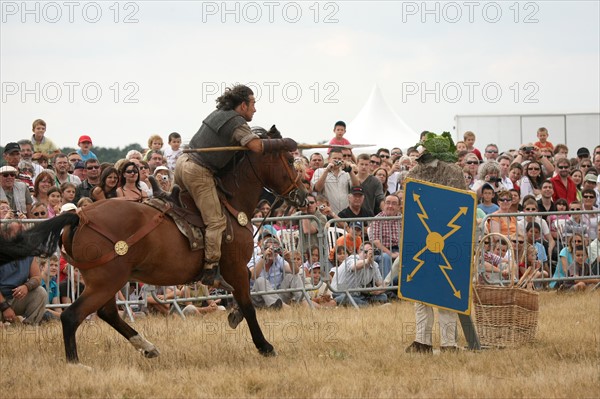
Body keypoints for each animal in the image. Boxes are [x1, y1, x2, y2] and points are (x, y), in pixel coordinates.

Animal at [0, 136, 308, 364]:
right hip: (107, 280)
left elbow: (242, 298)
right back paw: (75, 362)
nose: (303, 195)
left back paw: (147, 347)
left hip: (104, 280)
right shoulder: (236, 267)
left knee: (107, 313)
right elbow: (248, 303)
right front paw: (265, 346)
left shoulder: (234, 271)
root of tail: (80, 216)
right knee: (71, 315)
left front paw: (234, 315)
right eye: (289, 160)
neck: (229, 202)